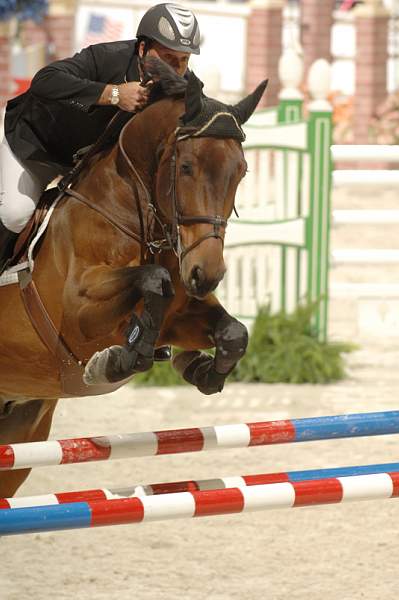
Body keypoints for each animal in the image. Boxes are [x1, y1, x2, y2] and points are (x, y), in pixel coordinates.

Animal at [0, 57, 268, 496]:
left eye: (241, 171)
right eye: (186, 167)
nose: (207, 274)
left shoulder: (181, 315)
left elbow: (233, 332)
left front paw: (201, 370)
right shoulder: (76, 316)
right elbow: (153, 280)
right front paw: (113, 361)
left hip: (21, 424)